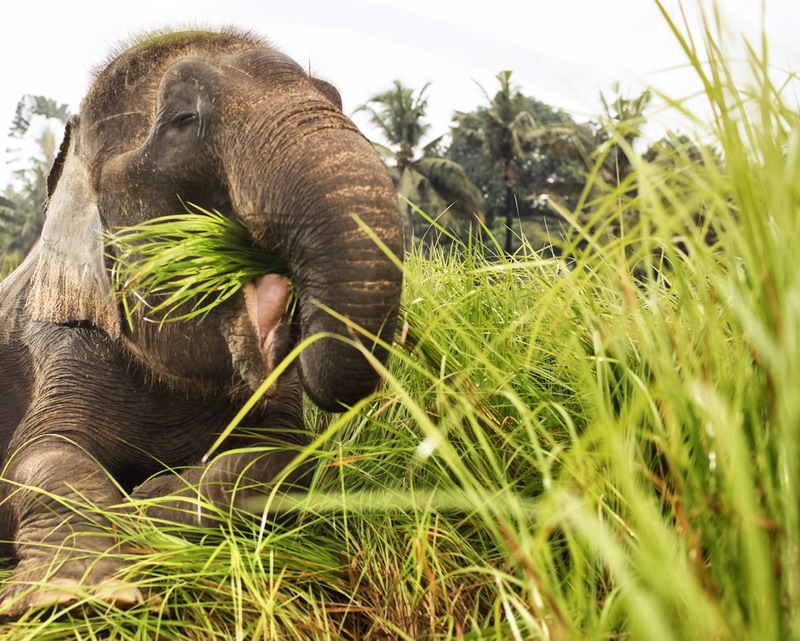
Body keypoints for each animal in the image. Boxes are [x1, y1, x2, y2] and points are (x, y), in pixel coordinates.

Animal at [0, 30, 404, 616]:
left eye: (337, 99)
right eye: (183, 119)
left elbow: (286, 457)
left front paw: (142, 505)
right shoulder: (61, 342)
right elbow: (39, 457)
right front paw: (79, 592)